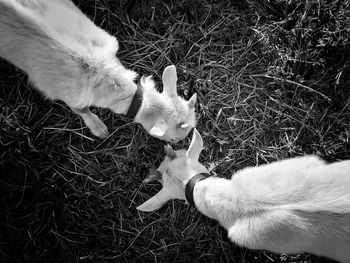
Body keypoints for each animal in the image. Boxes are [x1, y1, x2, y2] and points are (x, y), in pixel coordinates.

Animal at [0, 0, 197, 142]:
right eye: (174, 138)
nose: (178, 144)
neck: (100, 70)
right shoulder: (60, 91)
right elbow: (81, 110)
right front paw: (99, 129)